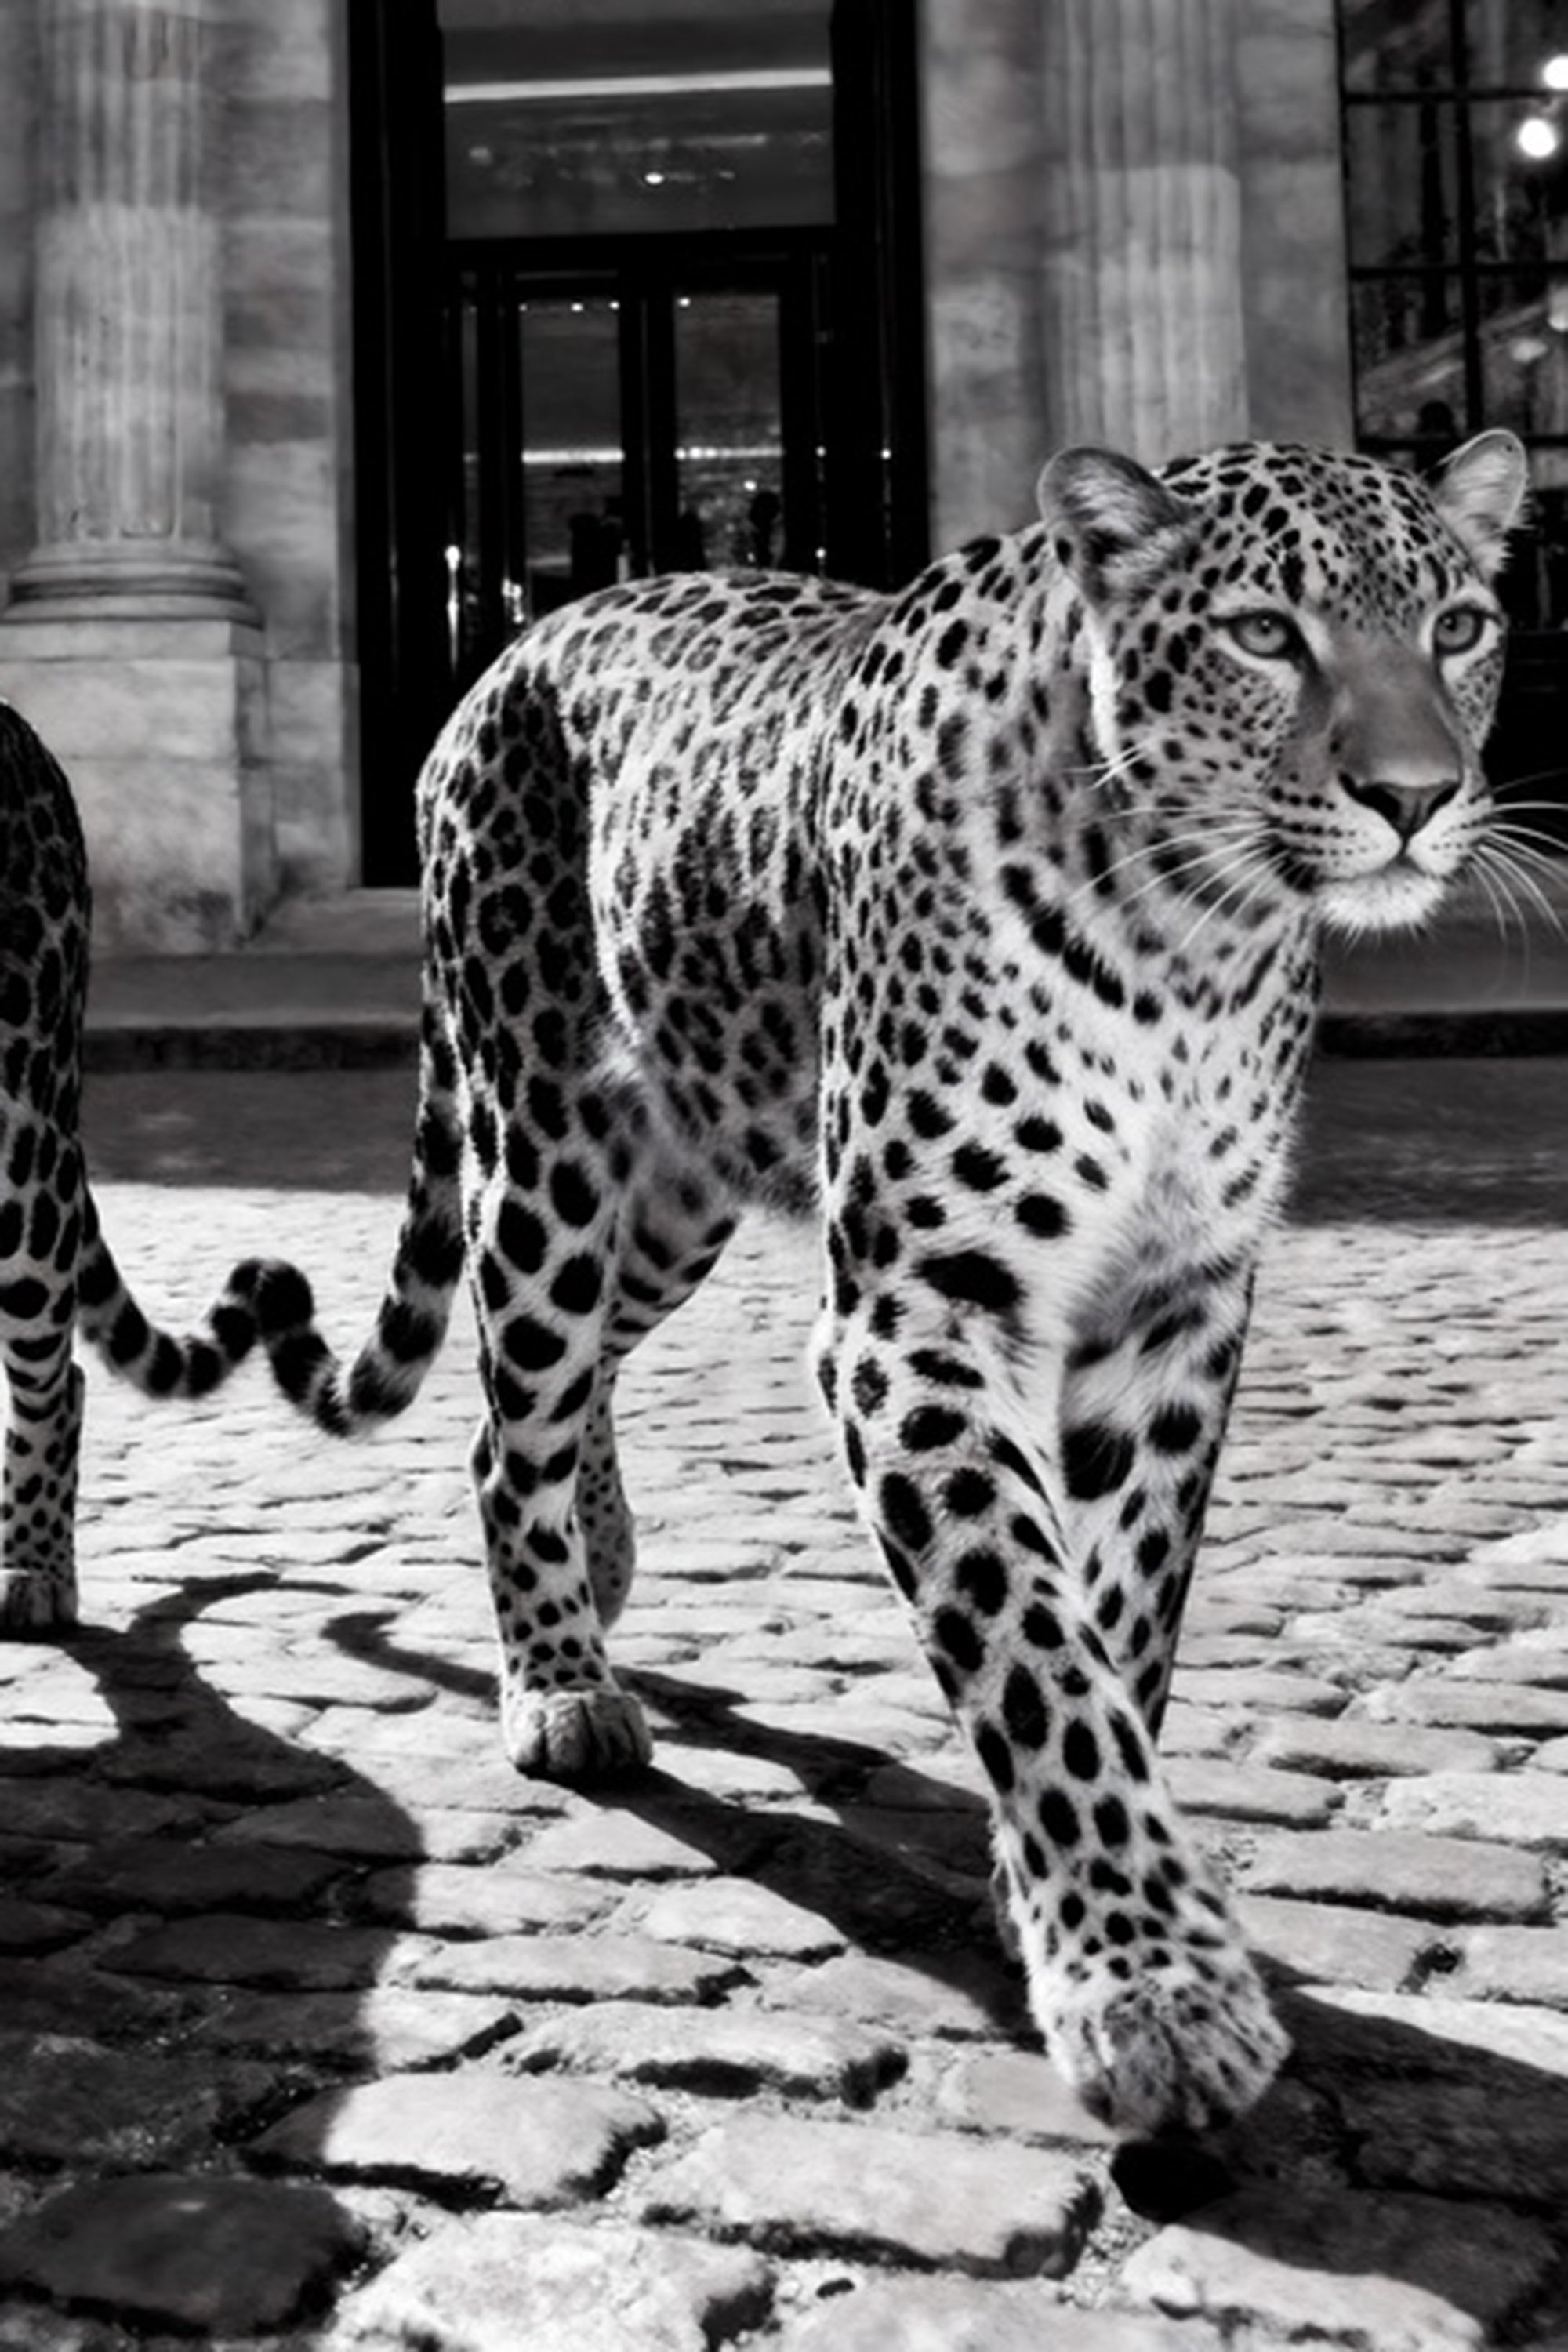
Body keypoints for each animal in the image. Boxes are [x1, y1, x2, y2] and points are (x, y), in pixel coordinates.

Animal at [257, 429, 1528, 2140]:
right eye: (1265, 634)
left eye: (1459, 627)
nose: (1413, 797)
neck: (1197, 945)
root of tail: (517, 645)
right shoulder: (919, 1306)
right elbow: (1027, 1642)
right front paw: (1148, 1984)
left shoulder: (1181, 1306)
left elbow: (1123, 1609)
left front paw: (1056, 1892)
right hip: (547, 1154)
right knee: (508, 1409)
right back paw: (560, 1683)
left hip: (683, 1183)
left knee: (571, 1377)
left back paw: (601, 1562)